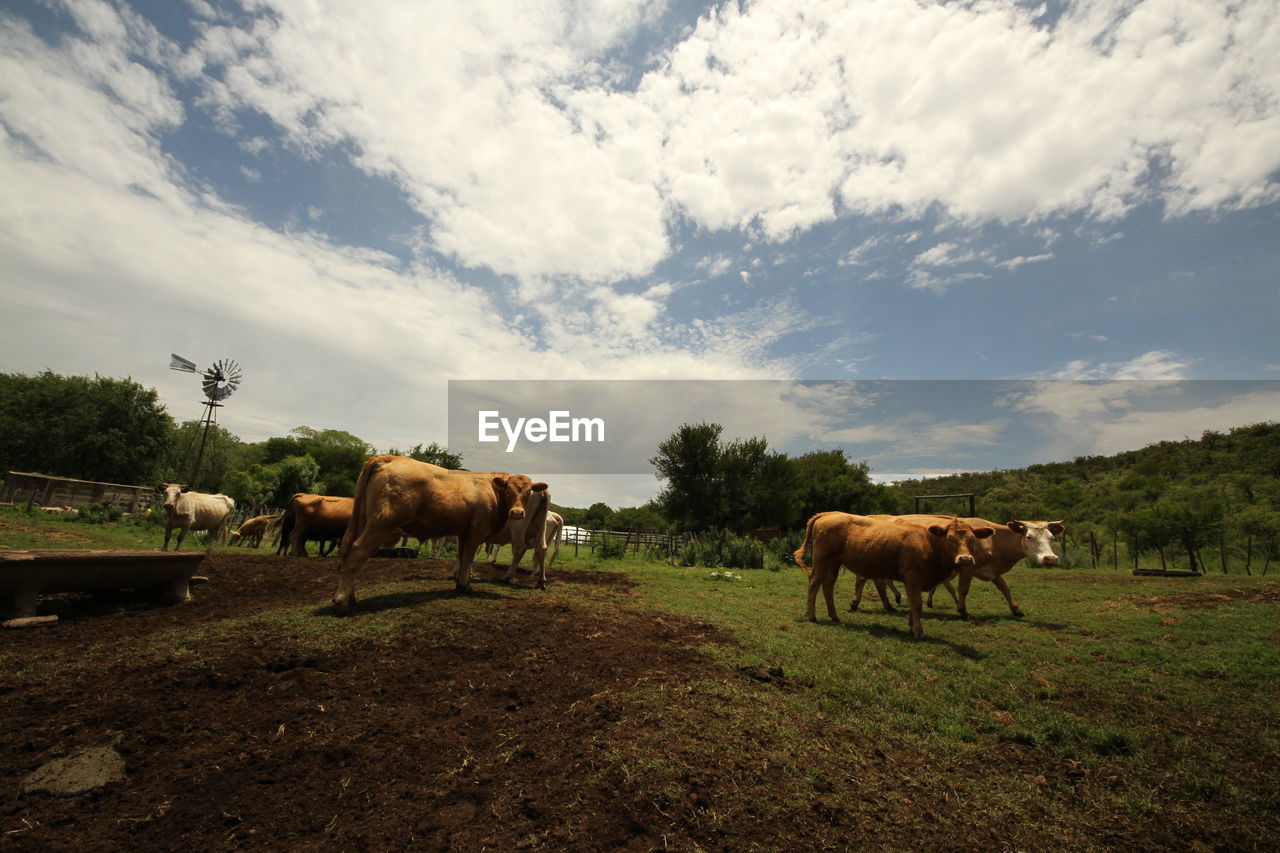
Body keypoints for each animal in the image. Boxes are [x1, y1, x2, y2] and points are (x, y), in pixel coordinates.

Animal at [332, 450, 547, 612]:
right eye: (509, 490)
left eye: (528, 492)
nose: (517, 513)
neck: (493, 491)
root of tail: (392, 458)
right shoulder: (476, 532)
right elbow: (468, 557)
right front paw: (465, 584)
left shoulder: (464, 533)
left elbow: (462, 557)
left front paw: (460, 581)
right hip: (380, 524)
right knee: (358, 551)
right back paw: (342, 600)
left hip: (363, 520)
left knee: (349, 552)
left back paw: (350, 596)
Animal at [793, 512, 993, 637]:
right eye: (949, 538)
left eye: (972, 539)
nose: (965, 559)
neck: (930, 544)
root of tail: (827, 514)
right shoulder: (912, 577)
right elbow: (916, 605)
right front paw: (919, 632)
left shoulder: (915, 581)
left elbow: (913, 604)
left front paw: (912, 627)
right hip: (822, 559)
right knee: (815, 582)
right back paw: (812, 616)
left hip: (834, 562)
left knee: (828, 584)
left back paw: (834, 615)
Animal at [855, 514, 1064, 614]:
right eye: (1029, 536)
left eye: (1052, 538)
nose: (1050, 559)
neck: (993, 539)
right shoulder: (968, 566)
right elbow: (962, 589)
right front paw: (962, 610)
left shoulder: (992, 571)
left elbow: (1005, 588)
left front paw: (1016, 609)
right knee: (870, 580)